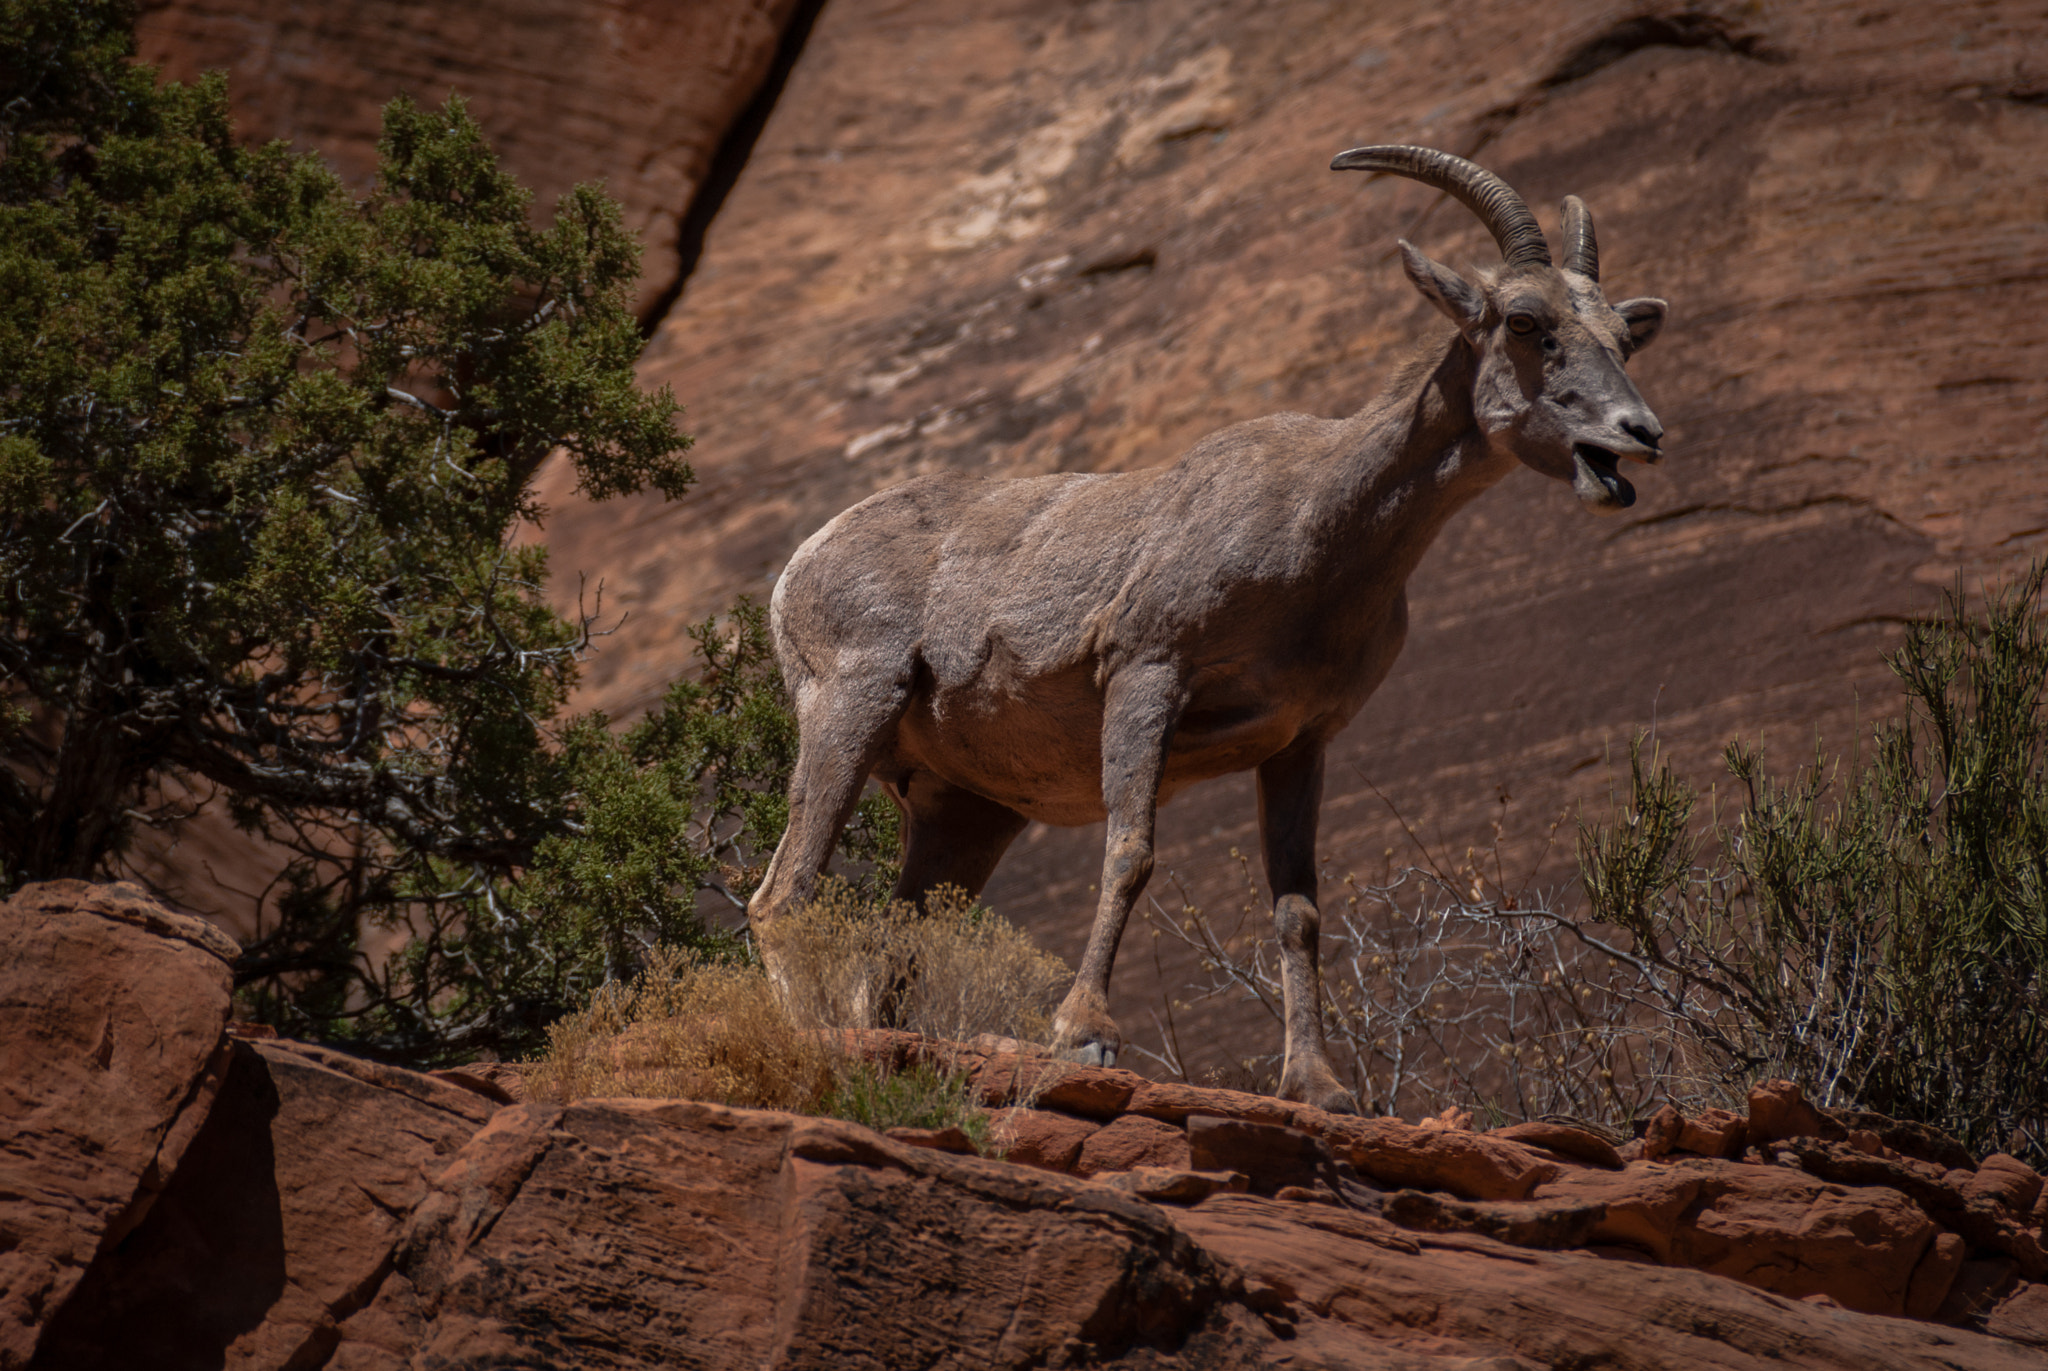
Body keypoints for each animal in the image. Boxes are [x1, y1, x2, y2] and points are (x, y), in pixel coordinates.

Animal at [746, 146, 1668, 1114]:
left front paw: (1319, 1086)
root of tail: (800, 565)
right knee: (783, 895)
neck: (1314, 534)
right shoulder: (1146, 674)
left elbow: (1298, 911)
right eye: (1526, 322)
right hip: (851, 707)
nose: (1640, 434)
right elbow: (1130, 854)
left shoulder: (1300, 742)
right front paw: (1084, 1034)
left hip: (964, 813)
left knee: (893, 950)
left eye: (1625, 336)